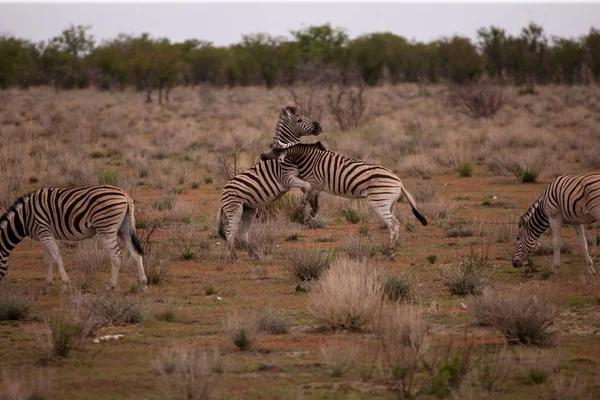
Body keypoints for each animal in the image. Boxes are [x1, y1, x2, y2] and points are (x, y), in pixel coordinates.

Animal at [0, 184, 148, 290]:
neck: (24, 217)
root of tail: (125, 194)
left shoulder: (44, 230)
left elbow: (56, 257)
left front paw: (65, 284)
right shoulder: (45, 234)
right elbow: (48, 259)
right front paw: (47, 283)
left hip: (106, 228)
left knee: (116, 255)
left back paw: (110, 286)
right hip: (124, 229)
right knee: (136, 253)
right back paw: (143, 284)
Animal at [262, 143, 426, 256]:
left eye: (276, 150)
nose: (262, 156)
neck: (307, 159)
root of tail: (399, 181)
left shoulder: (315, 183)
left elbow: (307, 196)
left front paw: (304, 211)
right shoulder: (315, 186)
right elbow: (311, 198)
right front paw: (310, 214)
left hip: (378, 202)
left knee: (394, 223)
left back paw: (390, 249)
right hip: (389, 203)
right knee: (393, 223)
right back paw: (393, 246)